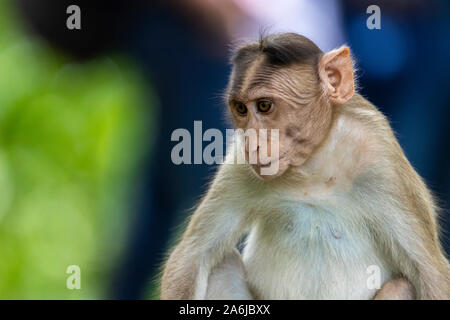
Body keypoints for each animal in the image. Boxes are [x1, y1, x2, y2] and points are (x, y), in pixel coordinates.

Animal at [161, 33, 450, 300]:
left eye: (264, 106)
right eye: (241, 109)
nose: (251, 143)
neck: (313, 163)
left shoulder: (381, 158)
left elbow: (430, 274)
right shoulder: (239, 164)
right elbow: (192, 258)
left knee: (402, 285)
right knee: (221, 264)